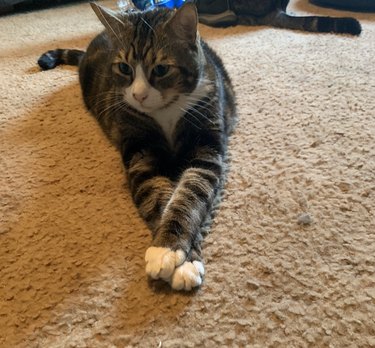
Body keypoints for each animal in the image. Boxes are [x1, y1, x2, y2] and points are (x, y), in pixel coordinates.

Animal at [39, 2, 238, 290]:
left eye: (161, 70)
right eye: (124, 68)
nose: (138, 95)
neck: (164, 113)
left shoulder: (205, 147)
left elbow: (190, 194)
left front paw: (176, 254)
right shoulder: (142, 153)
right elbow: (159, 196)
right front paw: (170, 252)